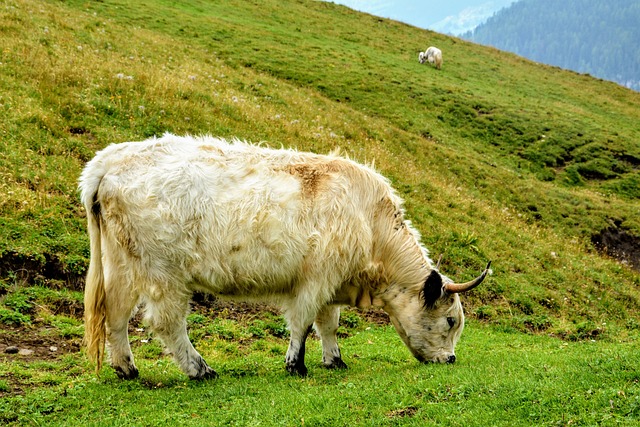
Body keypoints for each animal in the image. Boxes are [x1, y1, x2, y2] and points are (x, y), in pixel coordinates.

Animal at [80, 135, 490, 382]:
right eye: (451, 320)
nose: (451, 359)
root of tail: (110, 158)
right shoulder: (315, 279)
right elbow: (303, 322)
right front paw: (296, 364)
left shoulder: (331, 283)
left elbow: (328, 324)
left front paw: (334, 359)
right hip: (163, 274)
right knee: (166, 323)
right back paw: (199, 369)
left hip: (122, 265)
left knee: (116, 315)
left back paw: (126, 367)